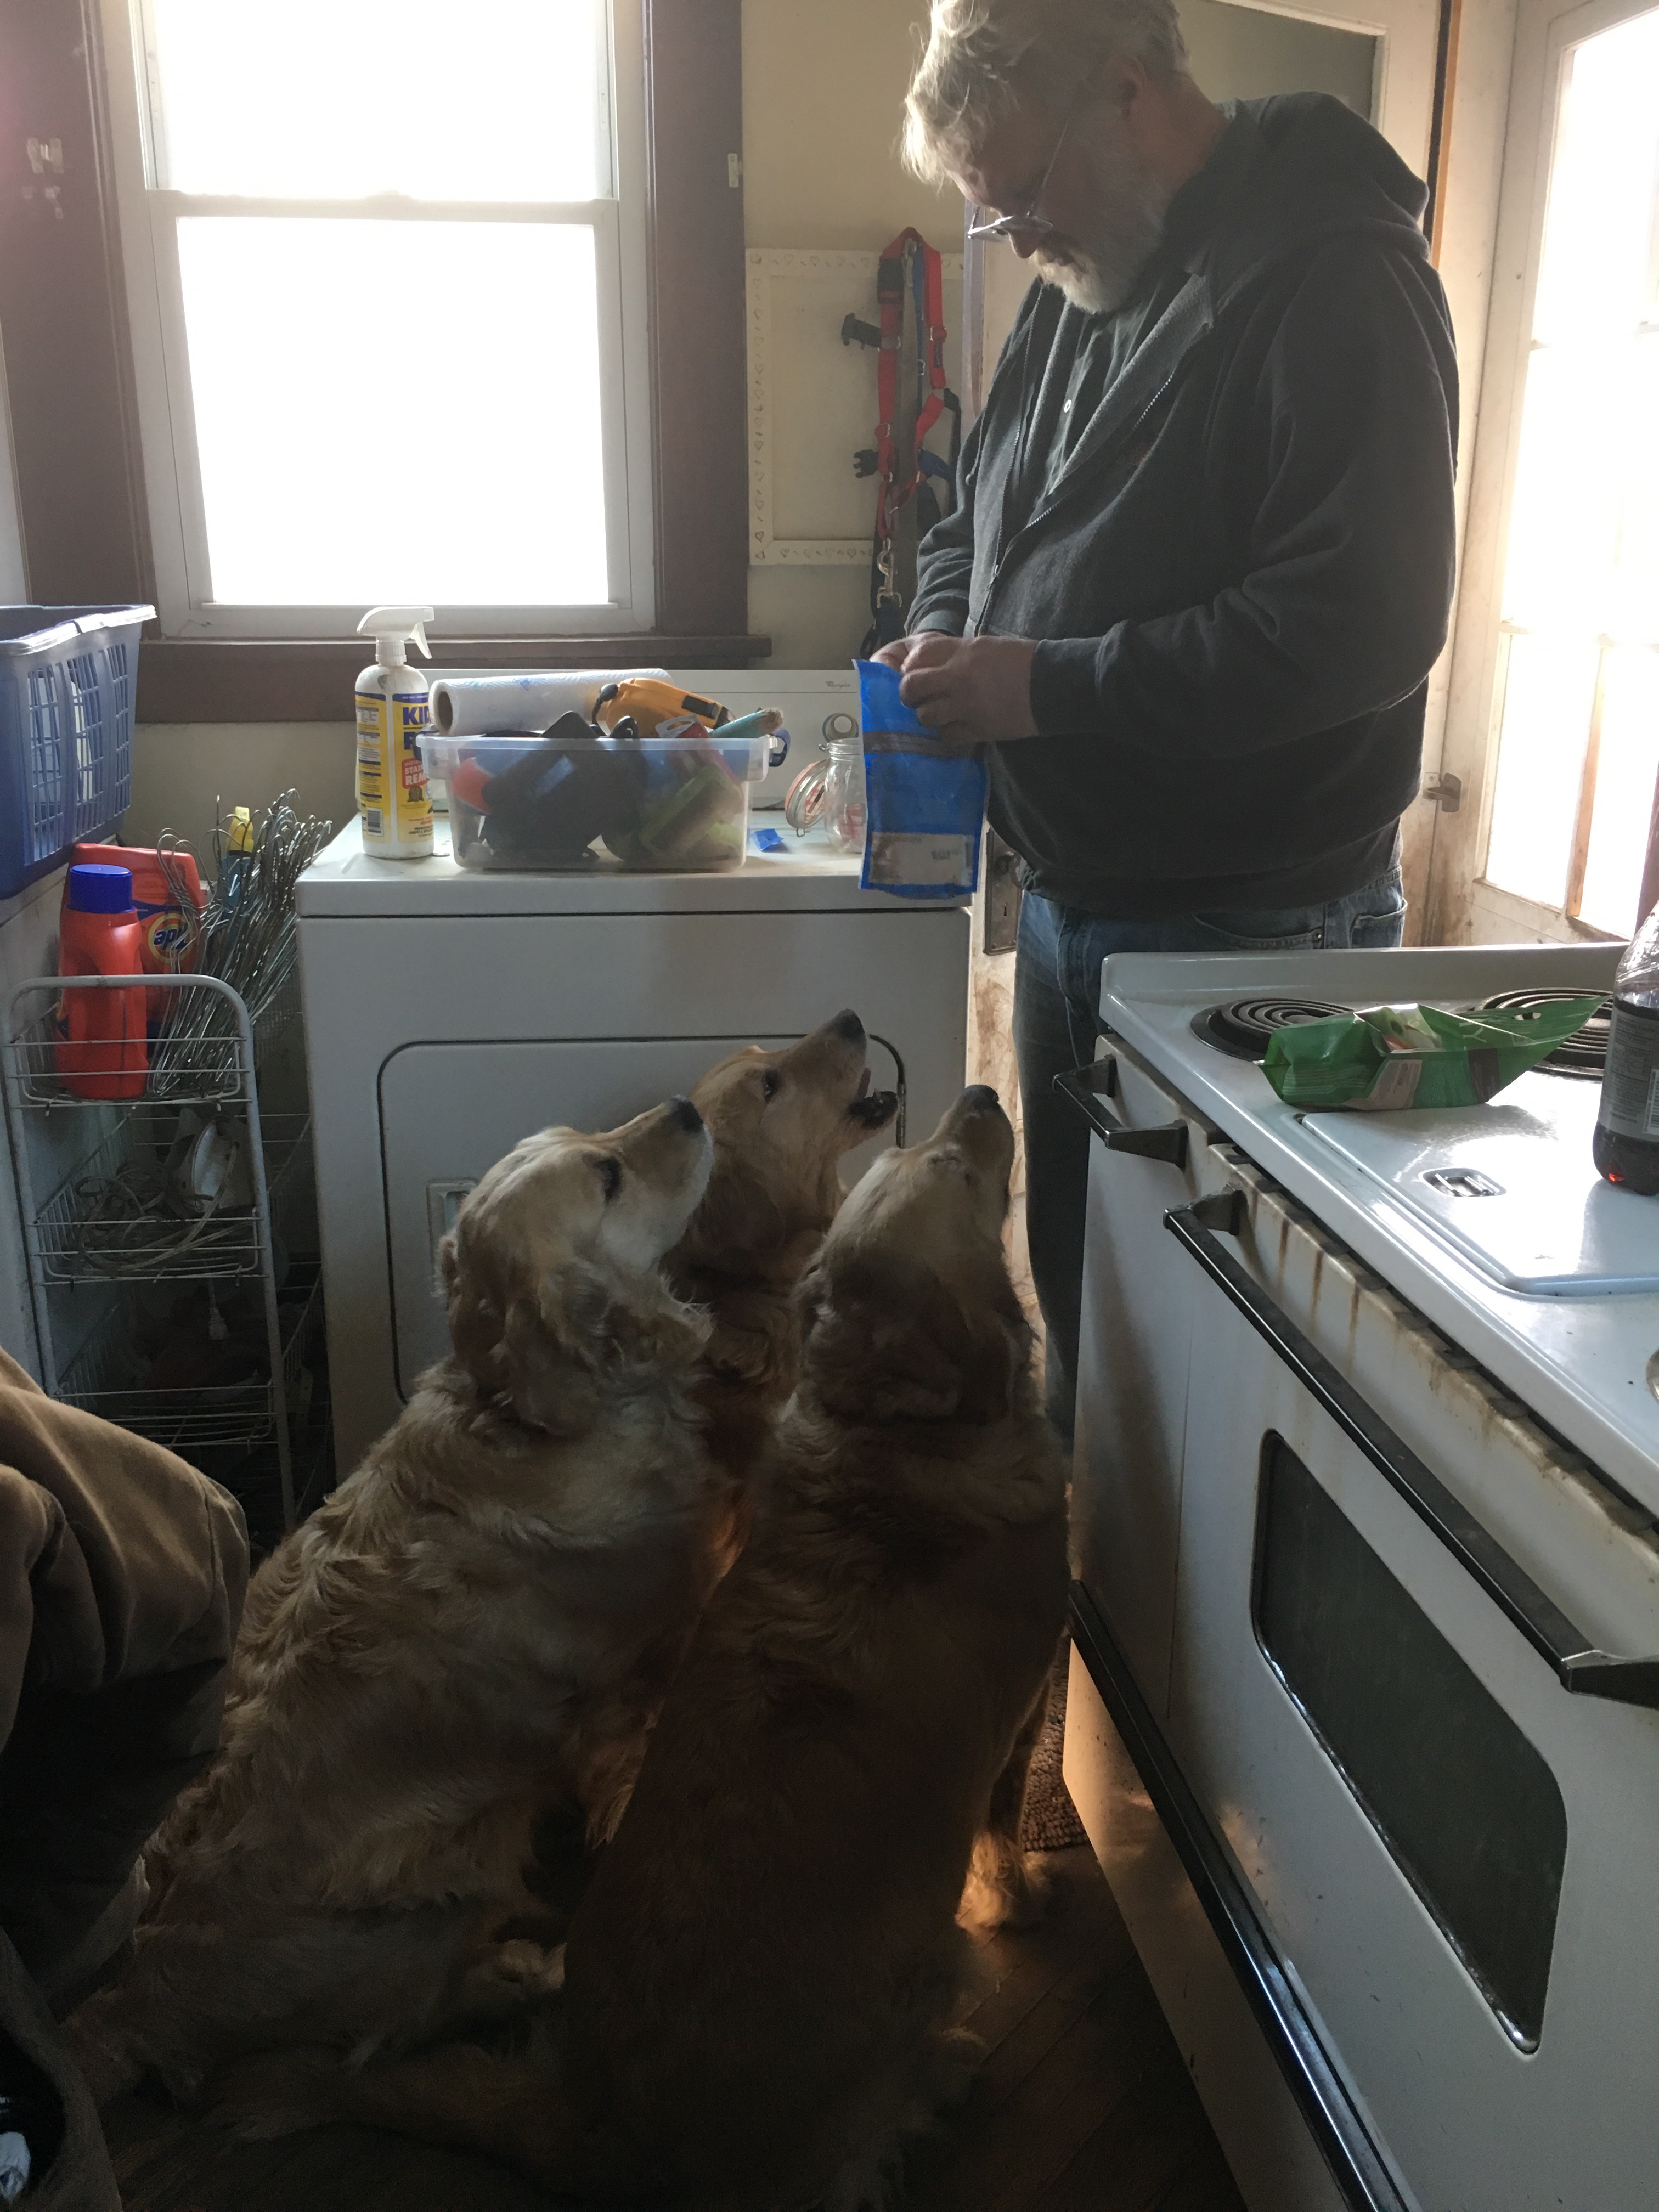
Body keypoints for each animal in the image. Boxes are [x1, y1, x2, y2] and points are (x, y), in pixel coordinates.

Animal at [69, 1096, 722, 2107]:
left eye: (590, 1140)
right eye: (607, 1175)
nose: (689, 1108)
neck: (525, 1415)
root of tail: (133, 2003)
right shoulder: (638, 1655)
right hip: (425, 1906)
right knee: (421, 2013)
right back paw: (537, 1970)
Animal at [239, 1085, 1070, 2210]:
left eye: (923, 1156)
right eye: (951, 1168)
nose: (983, 1092)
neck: (888, 1439)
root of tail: (592, 2127)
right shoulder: (1025, 1700)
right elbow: (999, 1820)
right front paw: (1019, 1896)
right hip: (920, 1982)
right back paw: (947, 2067)